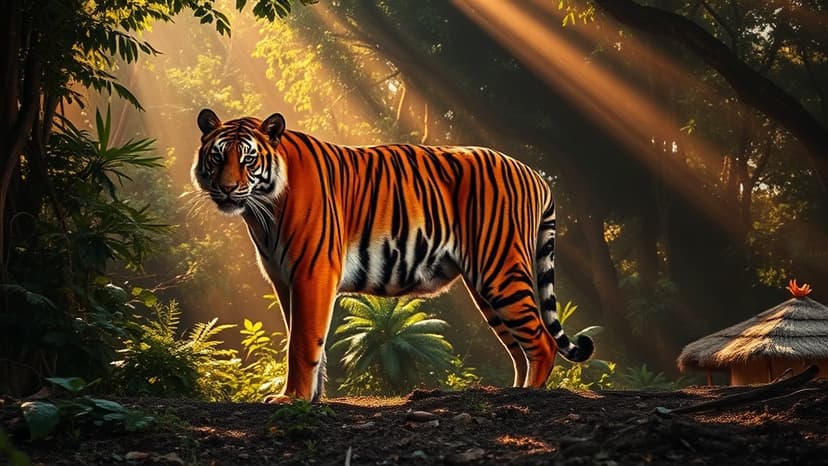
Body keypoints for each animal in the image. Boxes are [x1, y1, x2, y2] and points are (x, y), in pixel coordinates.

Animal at [193, 108, 594, 402]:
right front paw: (313, 398)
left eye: (248, 160)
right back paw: (511, 392)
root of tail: (534, 173)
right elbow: (306, 338)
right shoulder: (284, 279)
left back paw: (529, 396)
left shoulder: (312, 272)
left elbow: (303, 341)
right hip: (487, 288)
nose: (227, 188)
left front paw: (292, 398)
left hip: (500, 270)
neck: (262, 211)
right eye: (216, 158)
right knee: (518, 346)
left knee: (541, 340)